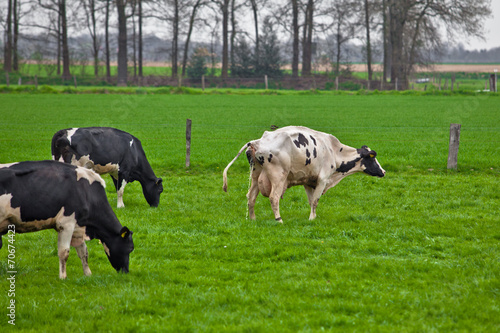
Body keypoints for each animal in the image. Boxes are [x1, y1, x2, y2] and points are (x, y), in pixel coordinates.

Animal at [0, 160, 135, 278]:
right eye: (130, 248)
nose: (126, 272)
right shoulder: (66, 223)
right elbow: (64, 252)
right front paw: (63, 277)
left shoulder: (77, 227)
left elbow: (84, 252)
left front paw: (88, 274)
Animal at [223, 126, 386, 222]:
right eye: (373, 159)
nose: (383, 171)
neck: (333, 150)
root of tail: (257, 141)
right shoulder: (322, 179)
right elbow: (315, 200)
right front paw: (312, 219)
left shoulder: (309, 182)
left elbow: (311, 200)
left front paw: (313, 216)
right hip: (278, 177)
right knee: (274, 198)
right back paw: (279, 220)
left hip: (256, 176)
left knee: (251, 197)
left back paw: (253, 219)